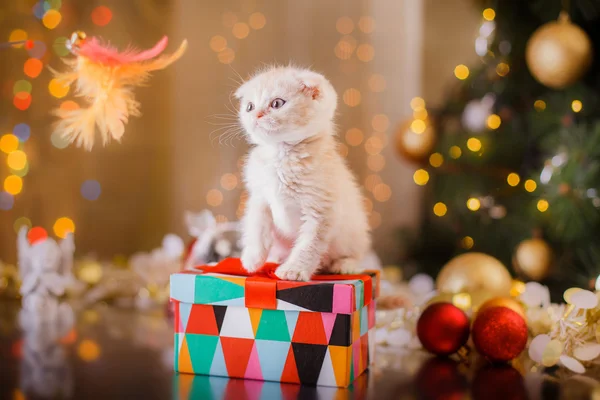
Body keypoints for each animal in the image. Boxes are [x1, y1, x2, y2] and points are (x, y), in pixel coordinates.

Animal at [234, 65, 370, 280]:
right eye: (249, 107)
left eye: (277, 103)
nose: (256, 116)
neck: (281, 155)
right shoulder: (259, 197)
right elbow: (257, 227)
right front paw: (252, 258)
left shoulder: (321, 208)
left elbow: (308, 245)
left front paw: (294, 270)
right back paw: (276, 258)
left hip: (354, 231)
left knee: (353, 253)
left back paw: (344, 264)